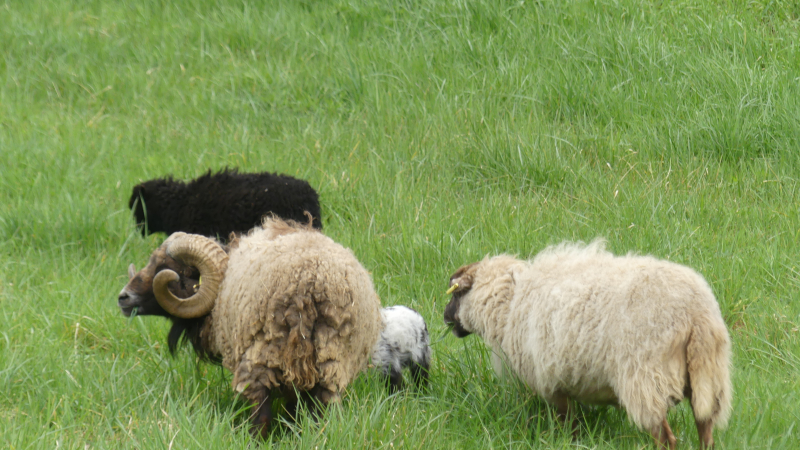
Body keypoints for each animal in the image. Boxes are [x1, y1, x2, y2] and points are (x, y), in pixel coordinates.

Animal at [117, 217, 381, 436]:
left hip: (263, 355)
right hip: (332, 361)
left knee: (260, 415)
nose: (123, 297)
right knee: (322, 413)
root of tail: (312, 282)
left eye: (165, 267)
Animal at [443, 240, 731, 449]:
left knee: (666, 439)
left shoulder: (551, 379)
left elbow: (567, 421)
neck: (509, 302)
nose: (444, 316)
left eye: (455, 293)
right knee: (706, 430)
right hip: (709, 376)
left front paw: (567, 441)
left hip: (646, 380)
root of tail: (696, 313)